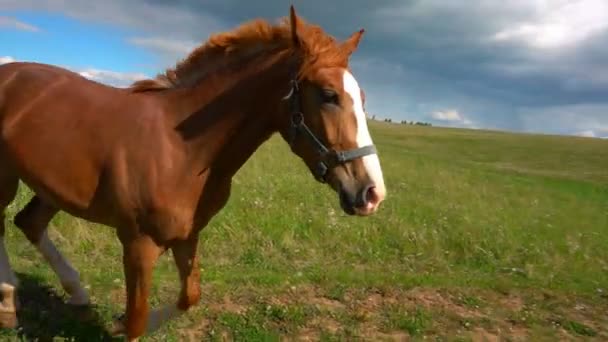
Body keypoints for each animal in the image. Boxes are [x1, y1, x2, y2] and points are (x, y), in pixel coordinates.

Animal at [1, 6, 384, 342]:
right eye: (329, 95)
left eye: (363, 97)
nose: (372, 193)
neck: (181, 150)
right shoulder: (138, 244)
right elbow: (138, 319)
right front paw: (126, 322)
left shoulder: (187, 235)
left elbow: (190, 296)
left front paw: (119, 322)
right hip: (8, 178)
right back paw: (9, 301)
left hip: (52, 187)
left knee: (28, 223)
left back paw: (73, 293)